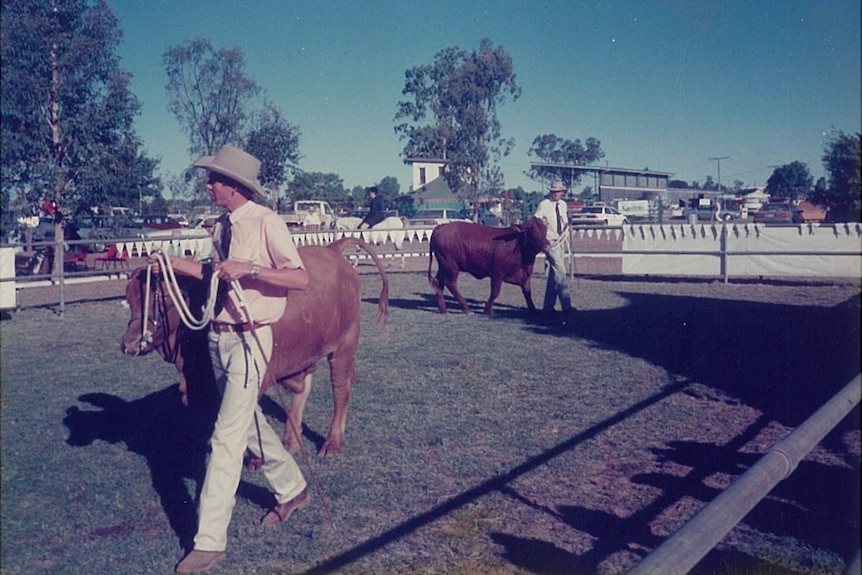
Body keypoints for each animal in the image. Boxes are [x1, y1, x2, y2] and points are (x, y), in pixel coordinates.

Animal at [121, 236, 392, 456]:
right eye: (129, 300)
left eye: (165, 298)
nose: (129, 344)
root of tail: (331, 249)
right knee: (304, 385)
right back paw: (290, 439)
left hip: (345, 344)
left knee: (341, 387)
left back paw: (332, 443)